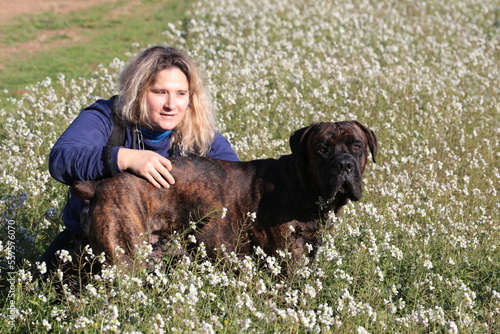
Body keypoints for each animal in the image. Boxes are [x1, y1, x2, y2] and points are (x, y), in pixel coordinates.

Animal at [71, 121, 376, 272]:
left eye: (357, 146)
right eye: (322, 149)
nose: (344, 165)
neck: (304, 186)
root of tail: (98, 187)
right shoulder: (287, 264)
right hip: (125, 260)